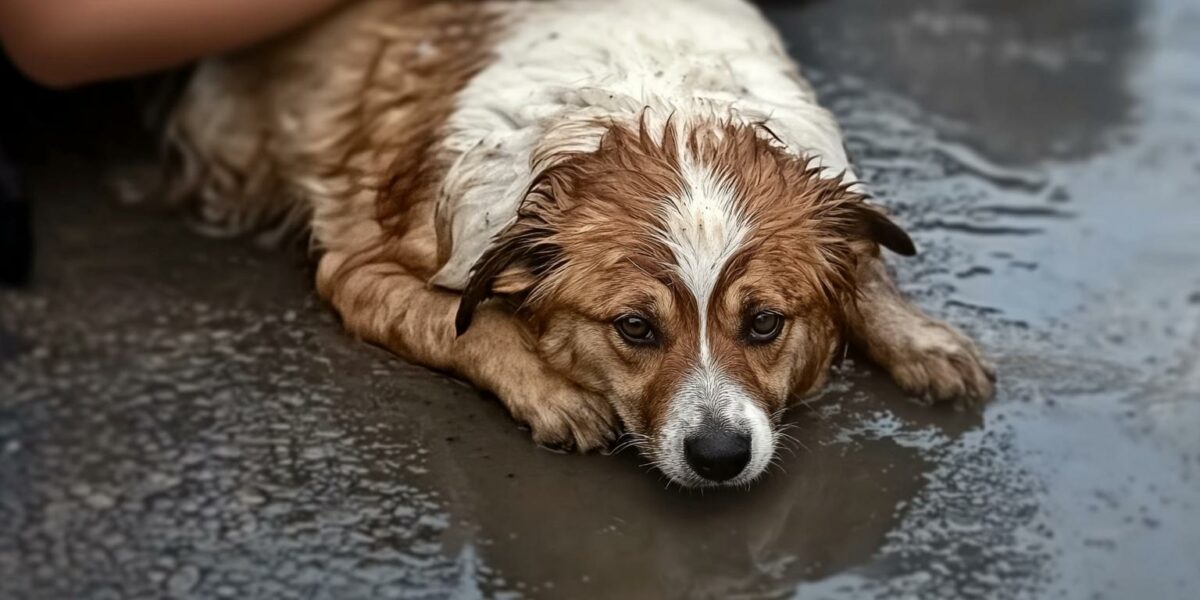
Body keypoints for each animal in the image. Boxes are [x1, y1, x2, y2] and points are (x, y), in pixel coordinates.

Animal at [166, 0, 993, 487]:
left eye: (765, 324)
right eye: (635, 328)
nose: (719, 458)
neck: (658, 99)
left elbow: (864, 256)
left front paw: (921, 338)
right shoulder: (362, 263)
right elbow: (463, 322)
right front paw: (553, 389)